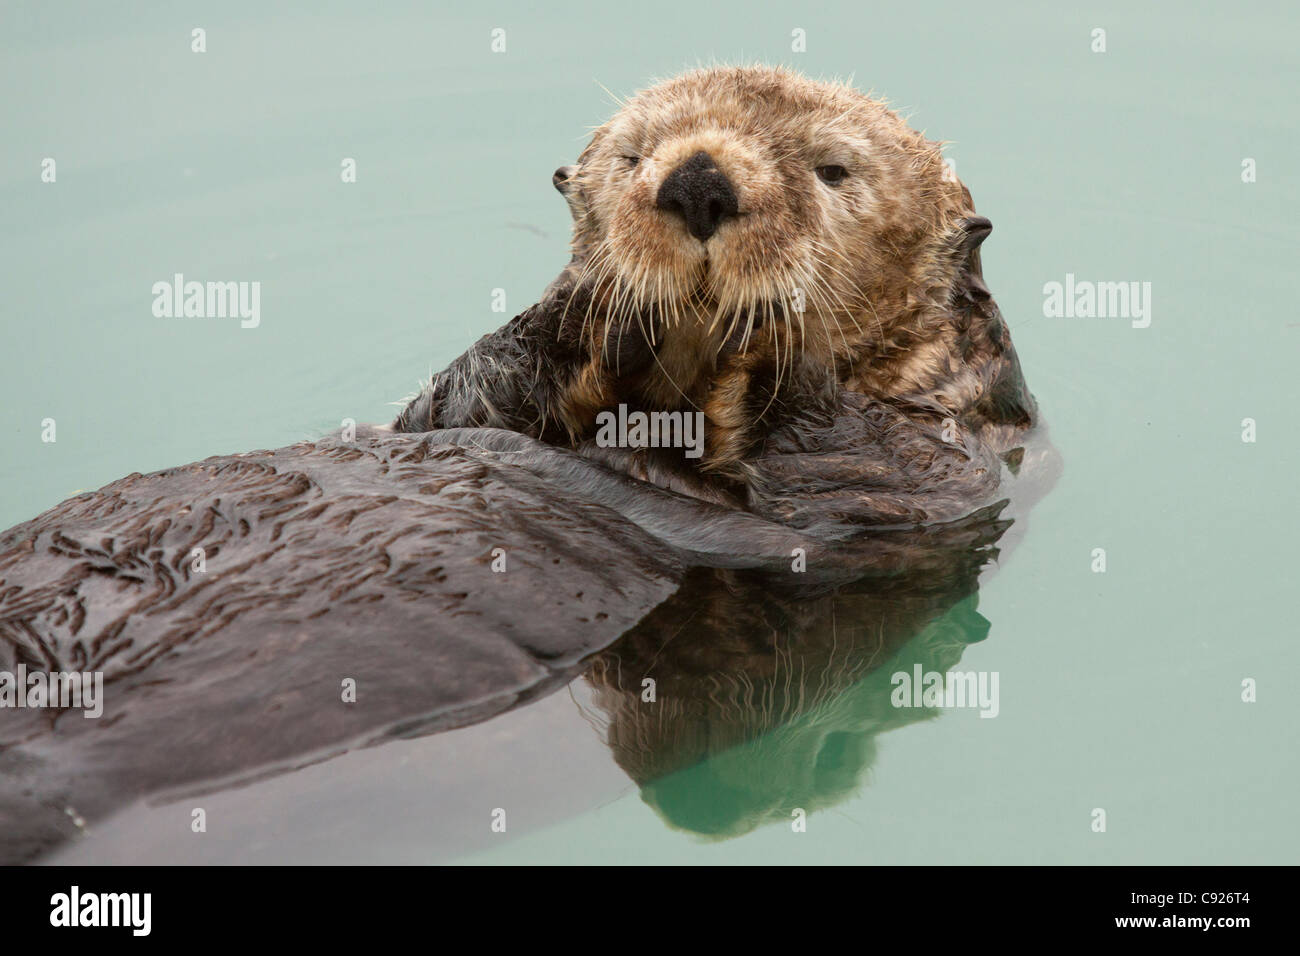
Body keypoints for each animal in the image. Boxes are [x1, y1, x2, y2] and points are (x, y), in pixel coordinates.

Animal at [395, 65, 1037, 528]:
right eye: (632, 156)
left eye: (833, 169)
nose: (698, 180)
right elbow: (441, 409)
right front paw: (585, 308)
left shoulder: (948, 463)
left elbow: (868, 471)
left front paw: (759, 342)